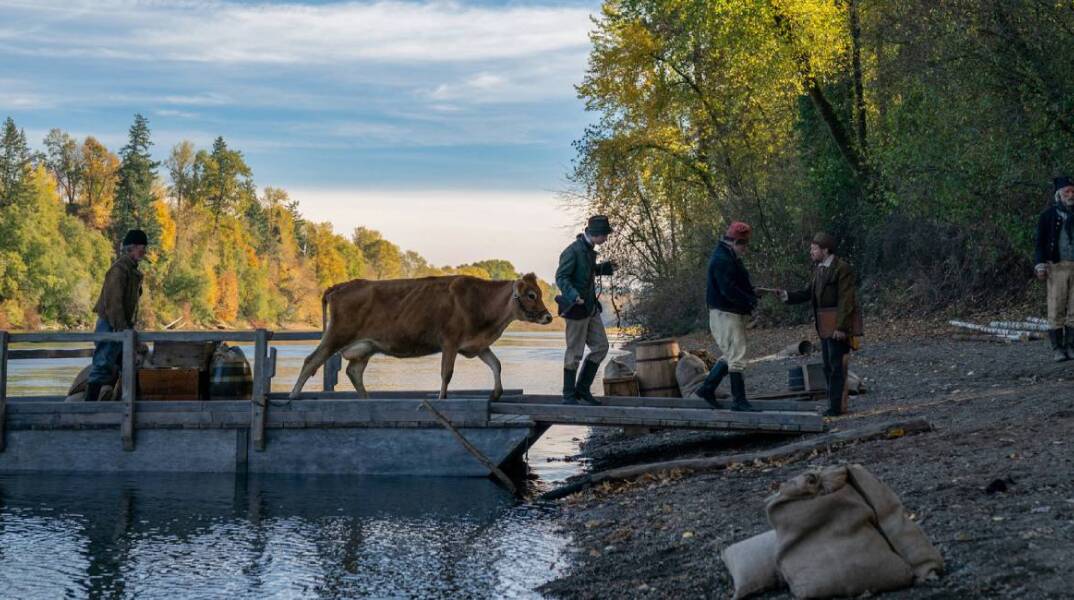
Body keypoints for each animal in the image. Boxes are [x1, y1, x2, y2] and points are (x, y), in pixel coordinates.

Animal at [289, 273, 554, 401]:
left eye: (539, 293)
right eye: (531, 294)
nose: (549, 316)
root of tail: (341, 285)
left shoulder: (477, 345)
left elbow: (496, 365)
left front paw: (497, 393)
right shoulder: (450, 341)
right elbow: (447, 373)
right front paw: (441, 397)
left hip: (365, 347)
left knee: (354, 372)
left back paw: (366, 399)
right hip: (337, 334)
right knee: (311, 360)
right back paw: (293, 396)